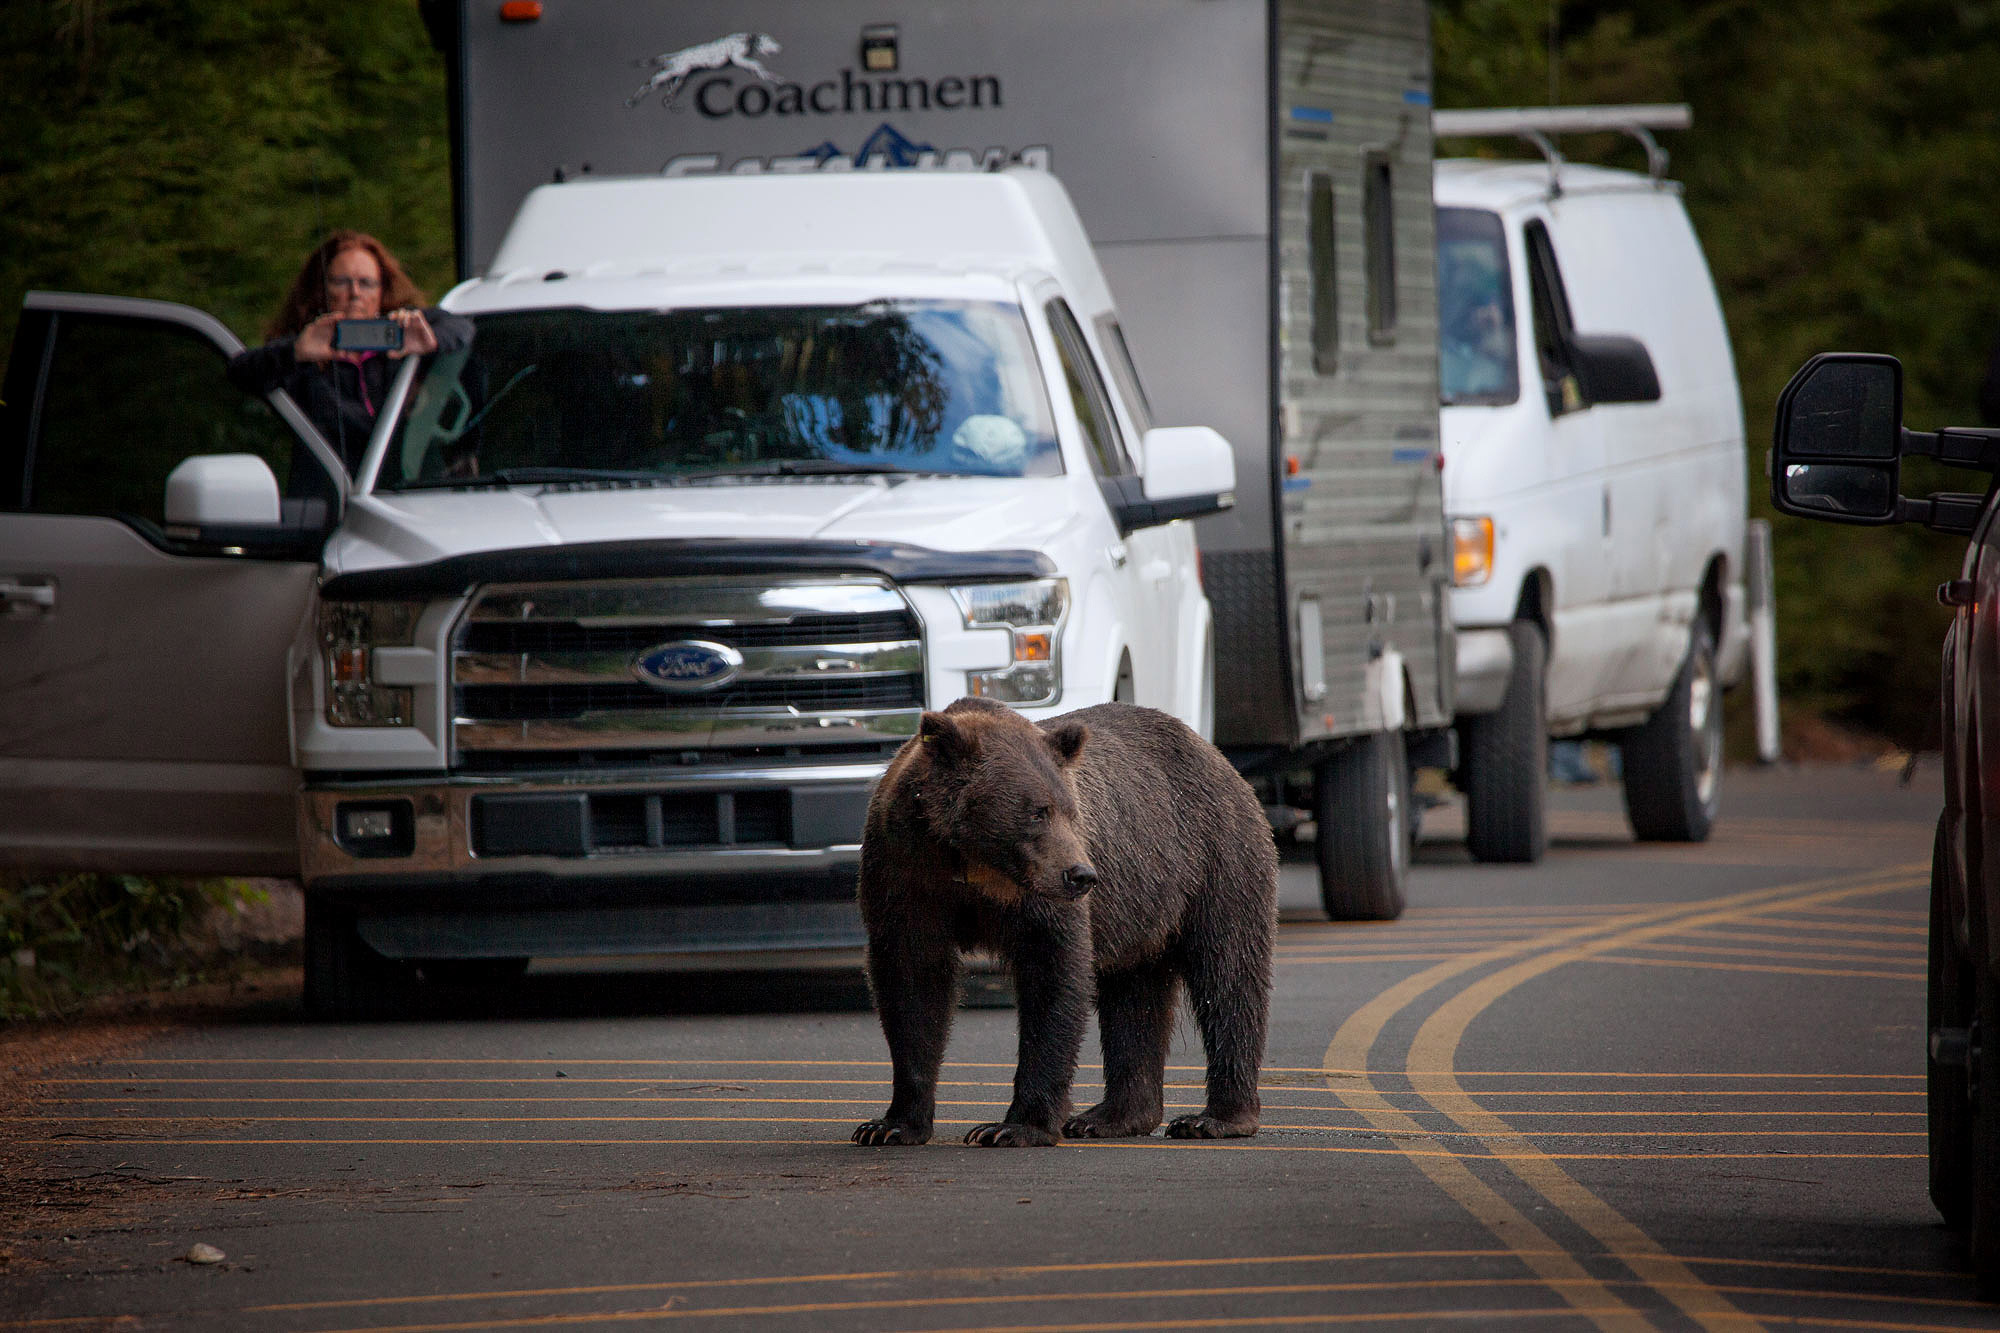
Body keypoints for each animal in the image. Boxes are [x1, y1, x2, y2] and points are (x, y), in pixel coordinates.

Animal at [852, 696, 1272, 1144]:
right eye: (1038, 812)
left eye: (1071, 811)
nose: (1080, 874)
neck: (973, 865)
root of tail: (1215, 755)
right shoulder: (905, 876)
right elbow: (911, 984)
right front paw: (890, 1125)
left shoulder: (1041, 904)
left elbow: (1053, 979)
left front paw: (1013, 1126)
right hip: (1140, 909)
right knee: (1135, 997)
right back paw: (1112, 1116)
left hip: (1215, 858)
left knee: (1228, 975)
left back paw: (1213, 1118)